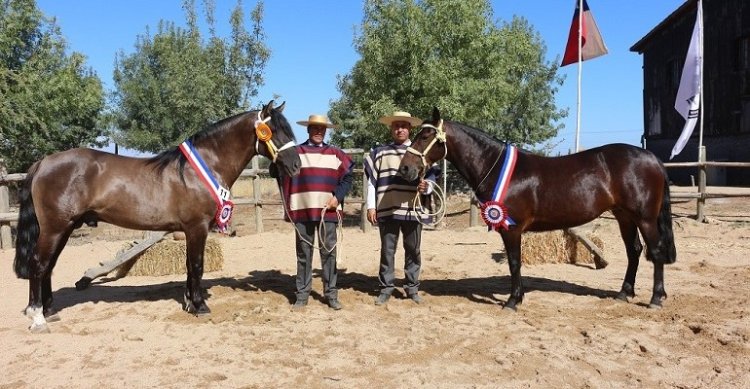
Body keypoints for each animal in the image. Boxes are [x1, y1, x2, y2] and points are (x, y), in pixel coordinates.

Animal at [13, 99, 302, 330]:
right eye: (275, 131)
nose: (296, 166)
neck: (199, 169)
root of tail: (44, 162)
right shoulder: (197, 227)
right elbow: (197, 265)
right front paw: (200, 306)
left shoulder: (188, 230)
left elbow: (189, 266)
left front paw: (189, 302)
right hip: (54, 228)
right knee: (38, 265)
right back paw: (37, 317)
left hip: (64, 228)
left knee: (48, 266)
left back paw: (49, 311)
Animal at [402, 107, 680, 310]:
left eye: (425, 136)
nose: (406, 168)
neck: (497, 167)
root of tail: (652, 158)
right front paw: (518, 297)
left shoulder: (511, 229)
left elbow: (515, 262)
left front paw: (513, 301)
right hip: (624, 216)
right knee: (634, 251)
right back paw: (624, 293)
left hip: (645, 218)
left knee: (655, 252)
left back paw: (655, 299)